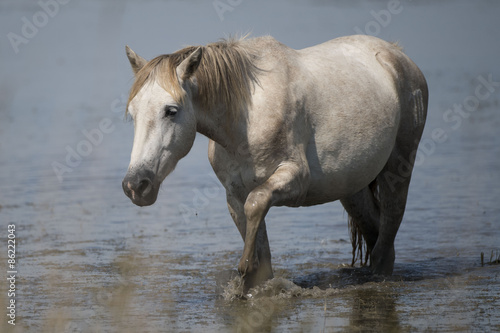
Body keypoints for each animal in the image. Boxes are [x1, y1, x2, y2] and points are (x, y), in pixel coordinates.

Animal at [123, 35, 428, 290]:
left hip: (399, 167)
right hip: (352, 188)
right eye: (132, 113)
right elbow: (255, 230)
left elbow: (256, 204)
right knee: (375, 230)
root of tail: (398, 55)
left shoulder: (294, 179)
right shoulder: (234, 194)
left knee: (390, 222)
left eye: (171, 111)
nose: (136, 185)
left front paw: (244, 270)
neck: (247, 118)